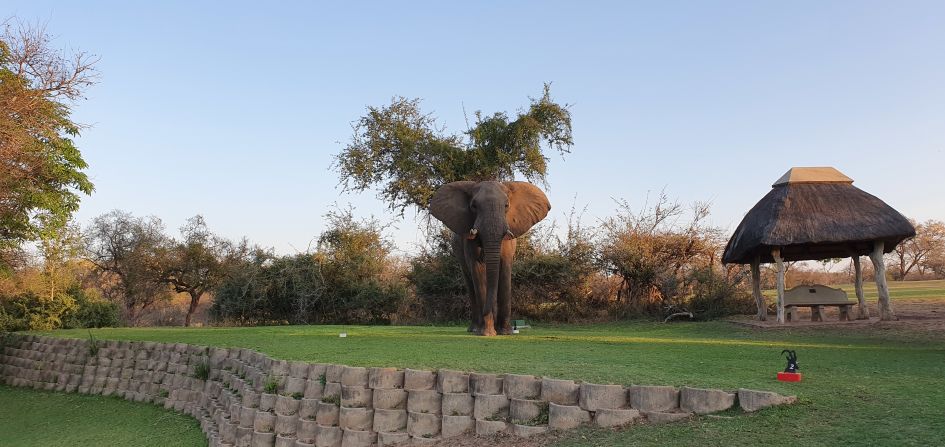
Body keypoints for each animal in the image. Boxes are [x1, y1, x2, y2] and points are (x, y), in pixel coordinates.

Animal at [430, 179, 548, 336]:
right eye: (474, 206)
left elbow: (504, 269)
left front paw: (505, 332)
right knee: (470, 283)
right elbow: (478, 271)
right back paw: (474, 329)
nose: (488, 311)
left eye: (506, 206)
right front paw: (486, 333)